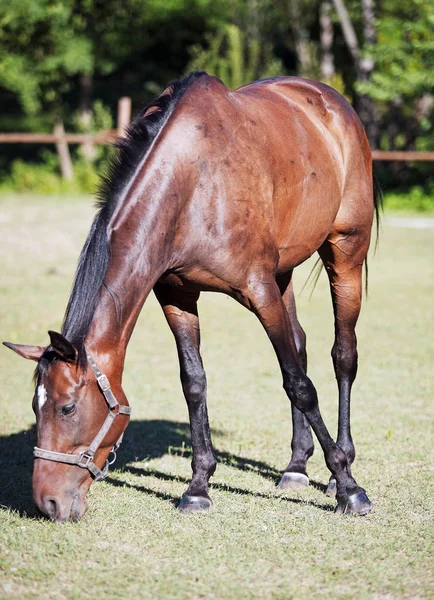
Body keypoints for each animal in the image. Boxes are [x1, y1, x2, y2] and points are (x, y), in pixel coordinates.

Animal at [5, 72, 382, 524]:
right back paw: (296, 466)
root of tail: (330, 99)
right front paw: (199, 486)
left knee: (343, 355)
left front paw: (349, 488)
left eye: (66, 408)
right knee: (301, 344)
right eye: (34, 407)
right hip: (284, 271)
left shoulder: (259, 291)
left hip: (345, 252)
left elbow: (299, 385)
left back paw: (340, 463)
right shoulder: (177, 294)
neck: (192, 184)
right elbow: (195, 383)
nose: (48, 503)